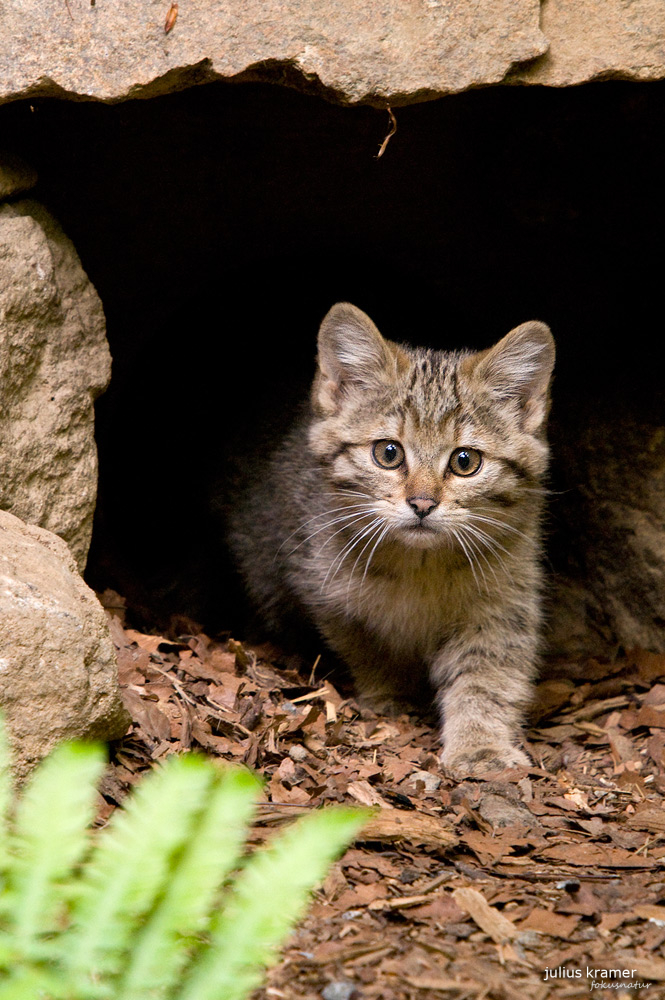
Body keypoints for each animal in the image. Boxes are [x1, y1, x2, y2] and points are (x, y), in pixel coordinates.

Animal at [230, 300, 556, 776]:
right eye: (388, 453)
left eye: (465, 461)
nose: (422, 503)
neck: (420, 567)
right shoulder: (328, 590)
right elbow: (370, 647)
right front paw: (390, 695)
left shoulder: (504, 603)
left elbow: (486, 678)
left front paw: (481, 745)